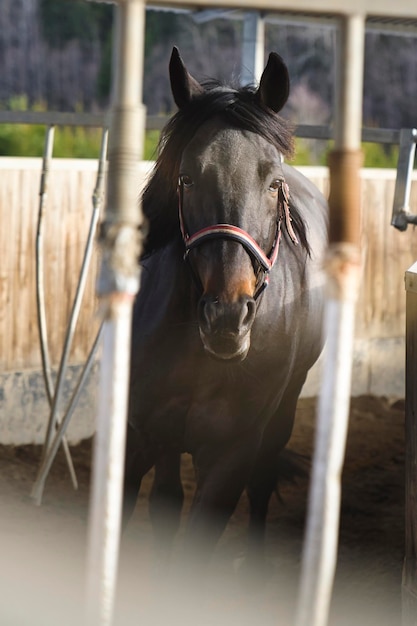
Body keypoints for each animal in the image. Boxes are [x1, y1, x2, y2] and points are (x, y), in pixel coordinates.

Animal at [122, 47, 326, 564]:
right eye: (187, 178)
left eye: (273, 183)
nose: (227, 316)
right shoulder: (136, 435)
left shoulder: (231, 457)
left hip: (282, 415)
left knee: (262, 484)